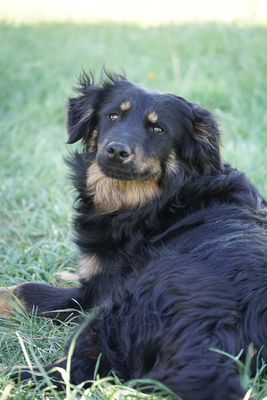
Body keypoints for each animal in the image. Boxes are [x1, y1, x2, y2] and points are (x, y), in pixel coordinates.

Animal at [0, 72, 267, 400]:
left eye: (158, 129)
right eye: (113, 115)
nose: (117, 151)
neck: (164, 199)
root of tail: (211, 341)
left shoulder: (92, 296)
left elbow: (25, 290)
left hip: (111, 312)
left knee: (79, 369)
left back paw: (15, 376)